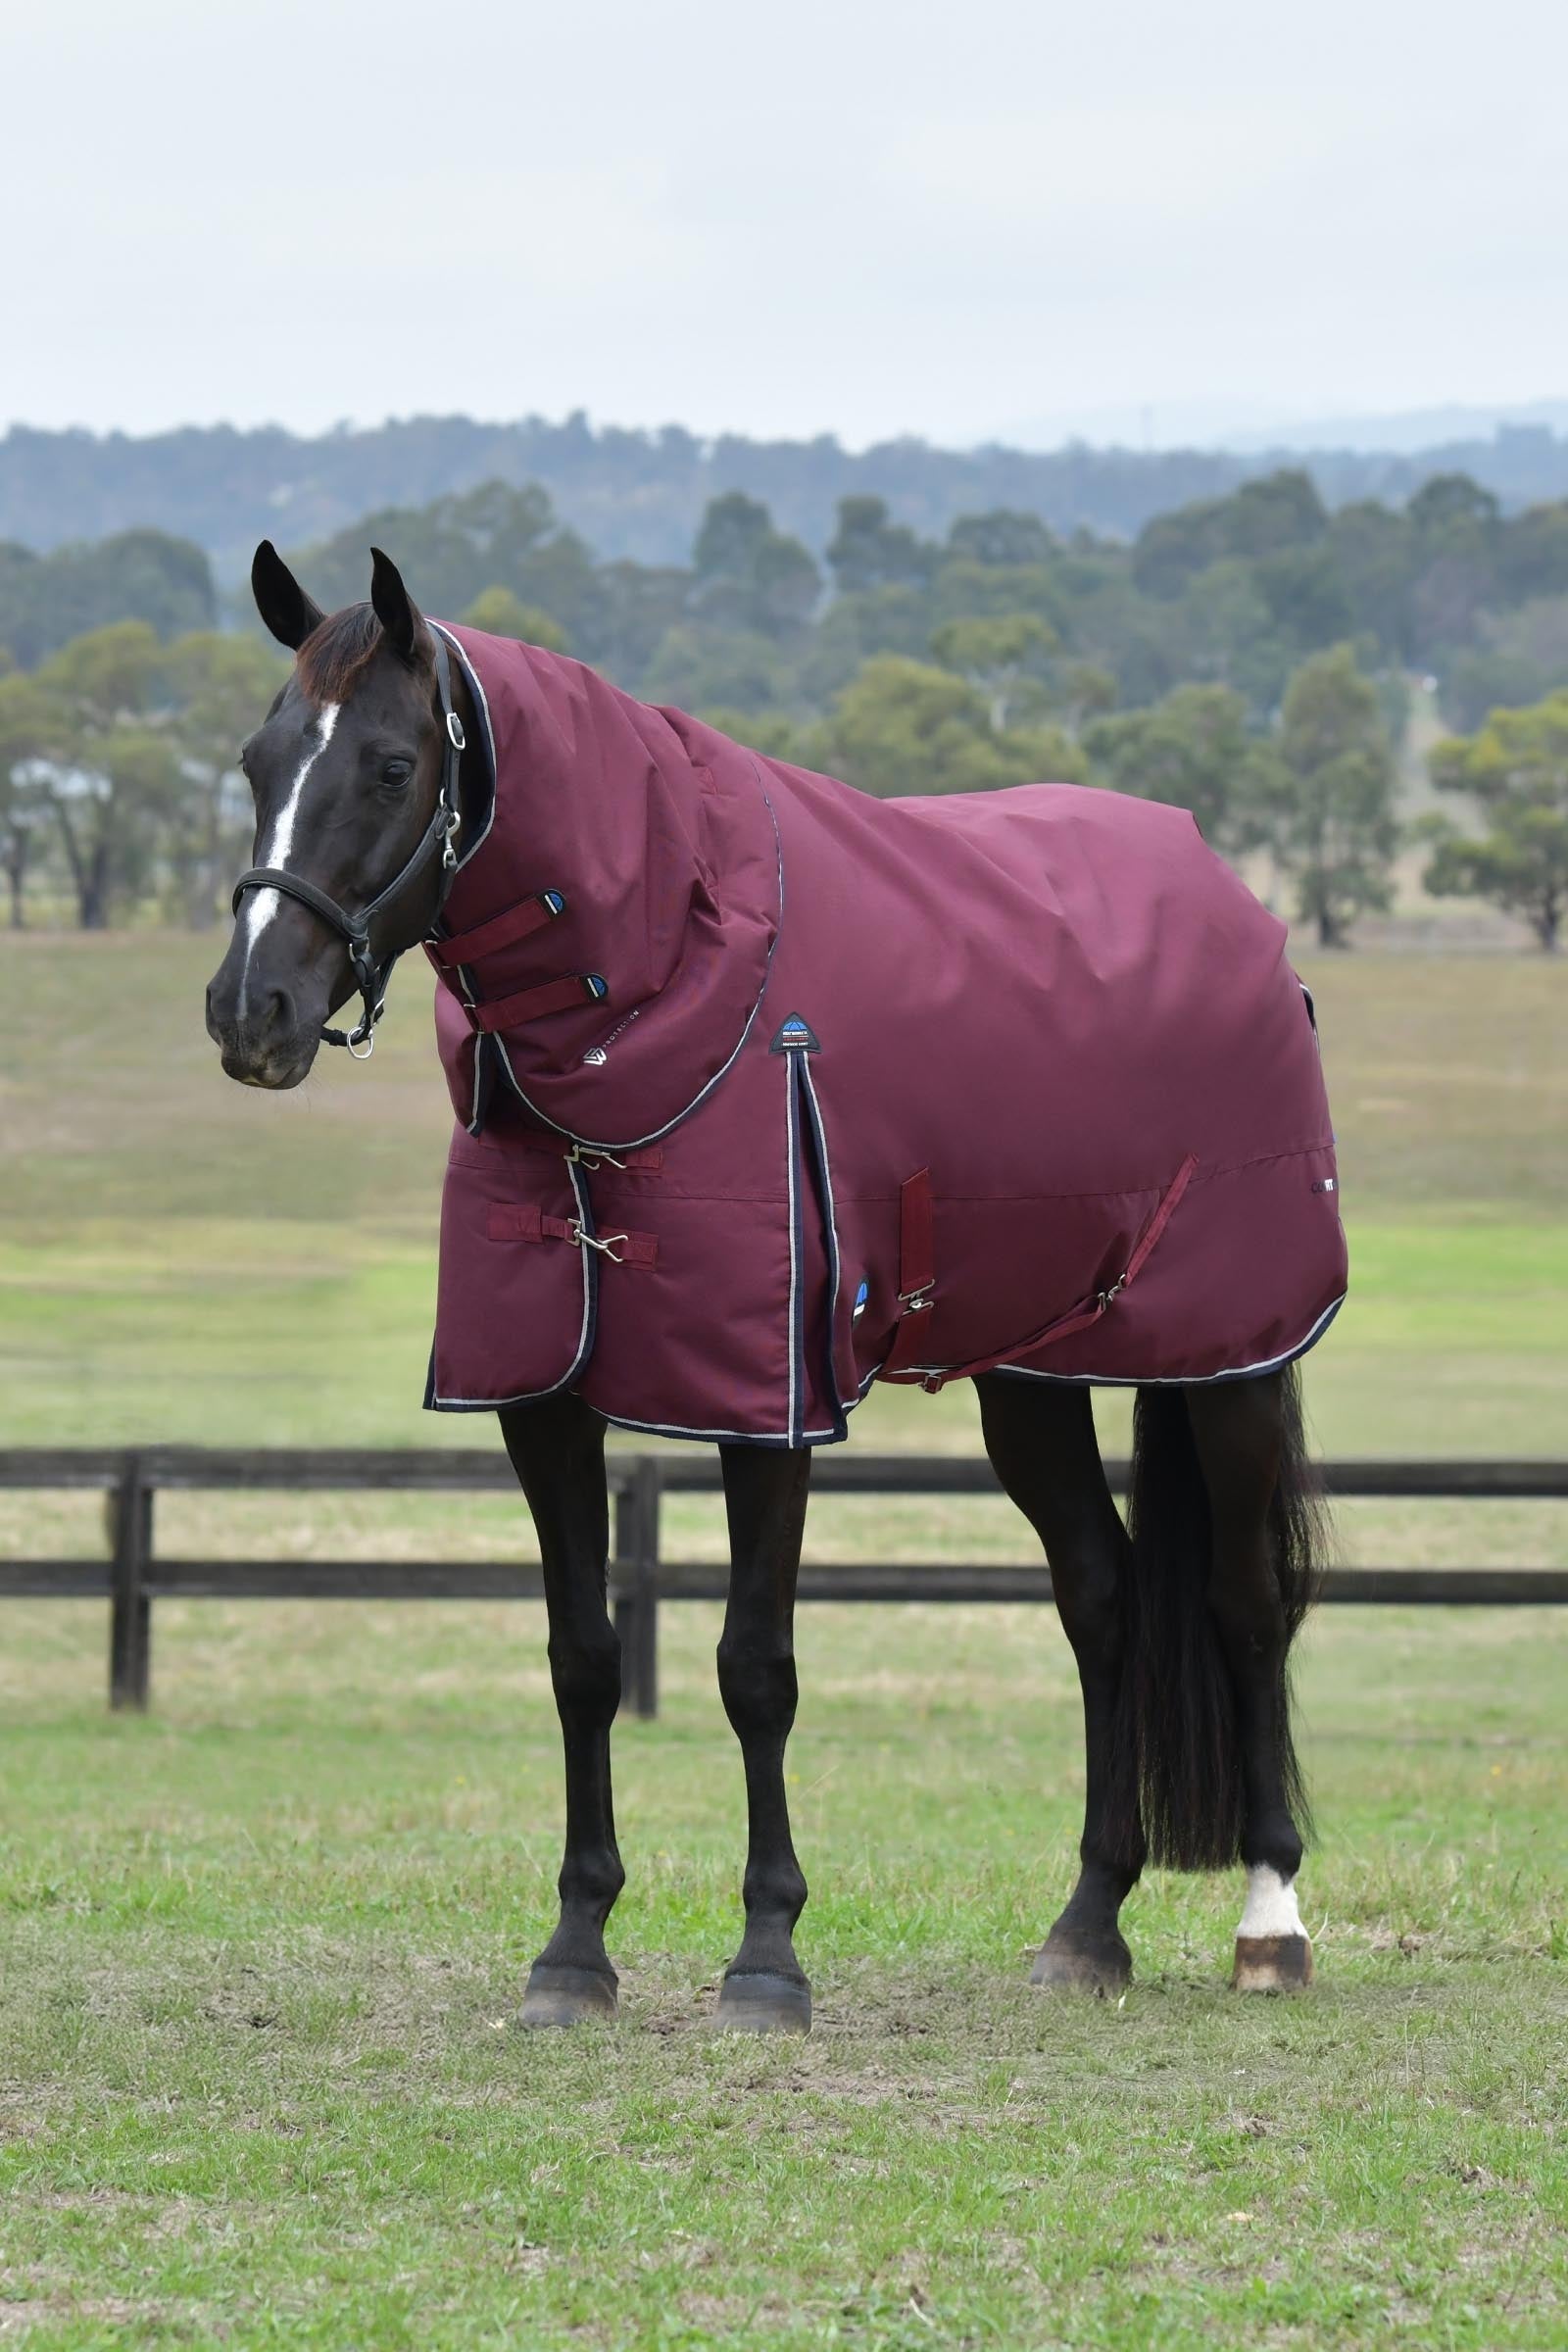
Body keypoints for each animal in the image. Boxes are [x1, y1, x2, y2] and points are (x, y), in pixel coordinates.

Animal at [204, 541, 1339, 2033]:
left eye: (393, 765)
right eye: (258, 758)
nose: (250, 1013)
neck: (668, 989)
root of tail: (1236, 912)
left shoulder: (768, 1399)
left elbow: (756, 1667)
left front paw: (766, 1958)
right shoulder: (541, 1399)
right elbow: (583, 1657)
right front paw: (574, 1952)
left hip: (1231, 1359)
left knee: (1246, 1603)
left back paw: (1272, 1921)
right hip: (1034, 1372)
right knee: (1101, 1594)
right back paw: (1087, 1924)